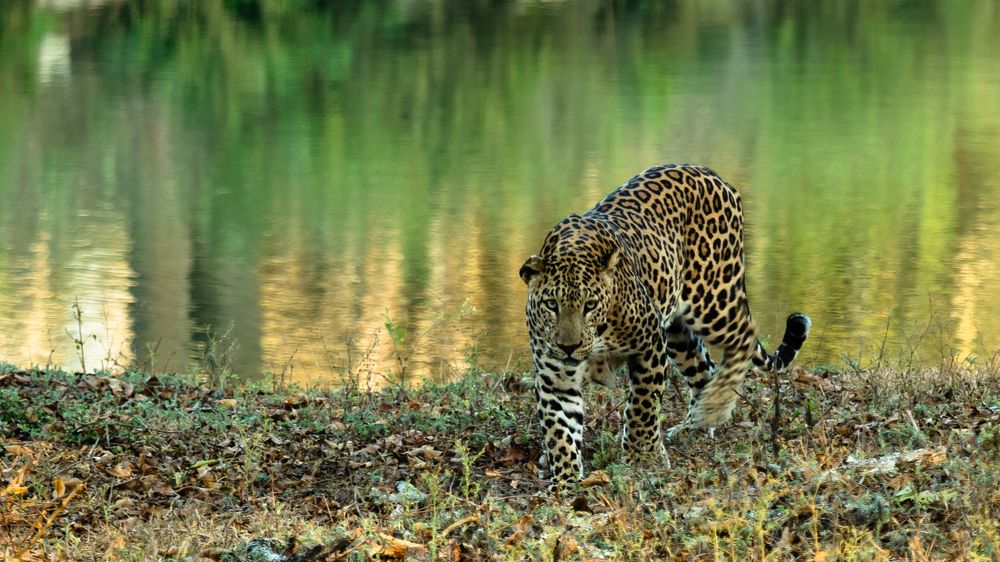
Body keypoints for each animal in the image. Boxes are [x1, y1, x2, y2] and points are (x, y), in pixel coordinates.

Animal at [519, 164, 811, 487]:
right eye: (551, 305)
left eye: (590, 305)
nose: (568, 347)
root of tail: (714, 175)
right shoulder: (555, 377)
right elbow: (560, 430)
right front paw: (566, 479)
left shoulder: (649, 347)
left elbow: (642, 407)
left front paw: (642, 459)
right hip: (679, 336)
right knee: (704, 369)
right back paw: (696, 423)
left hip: (714, 299)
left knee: (745, 337)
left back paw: (716, 406)